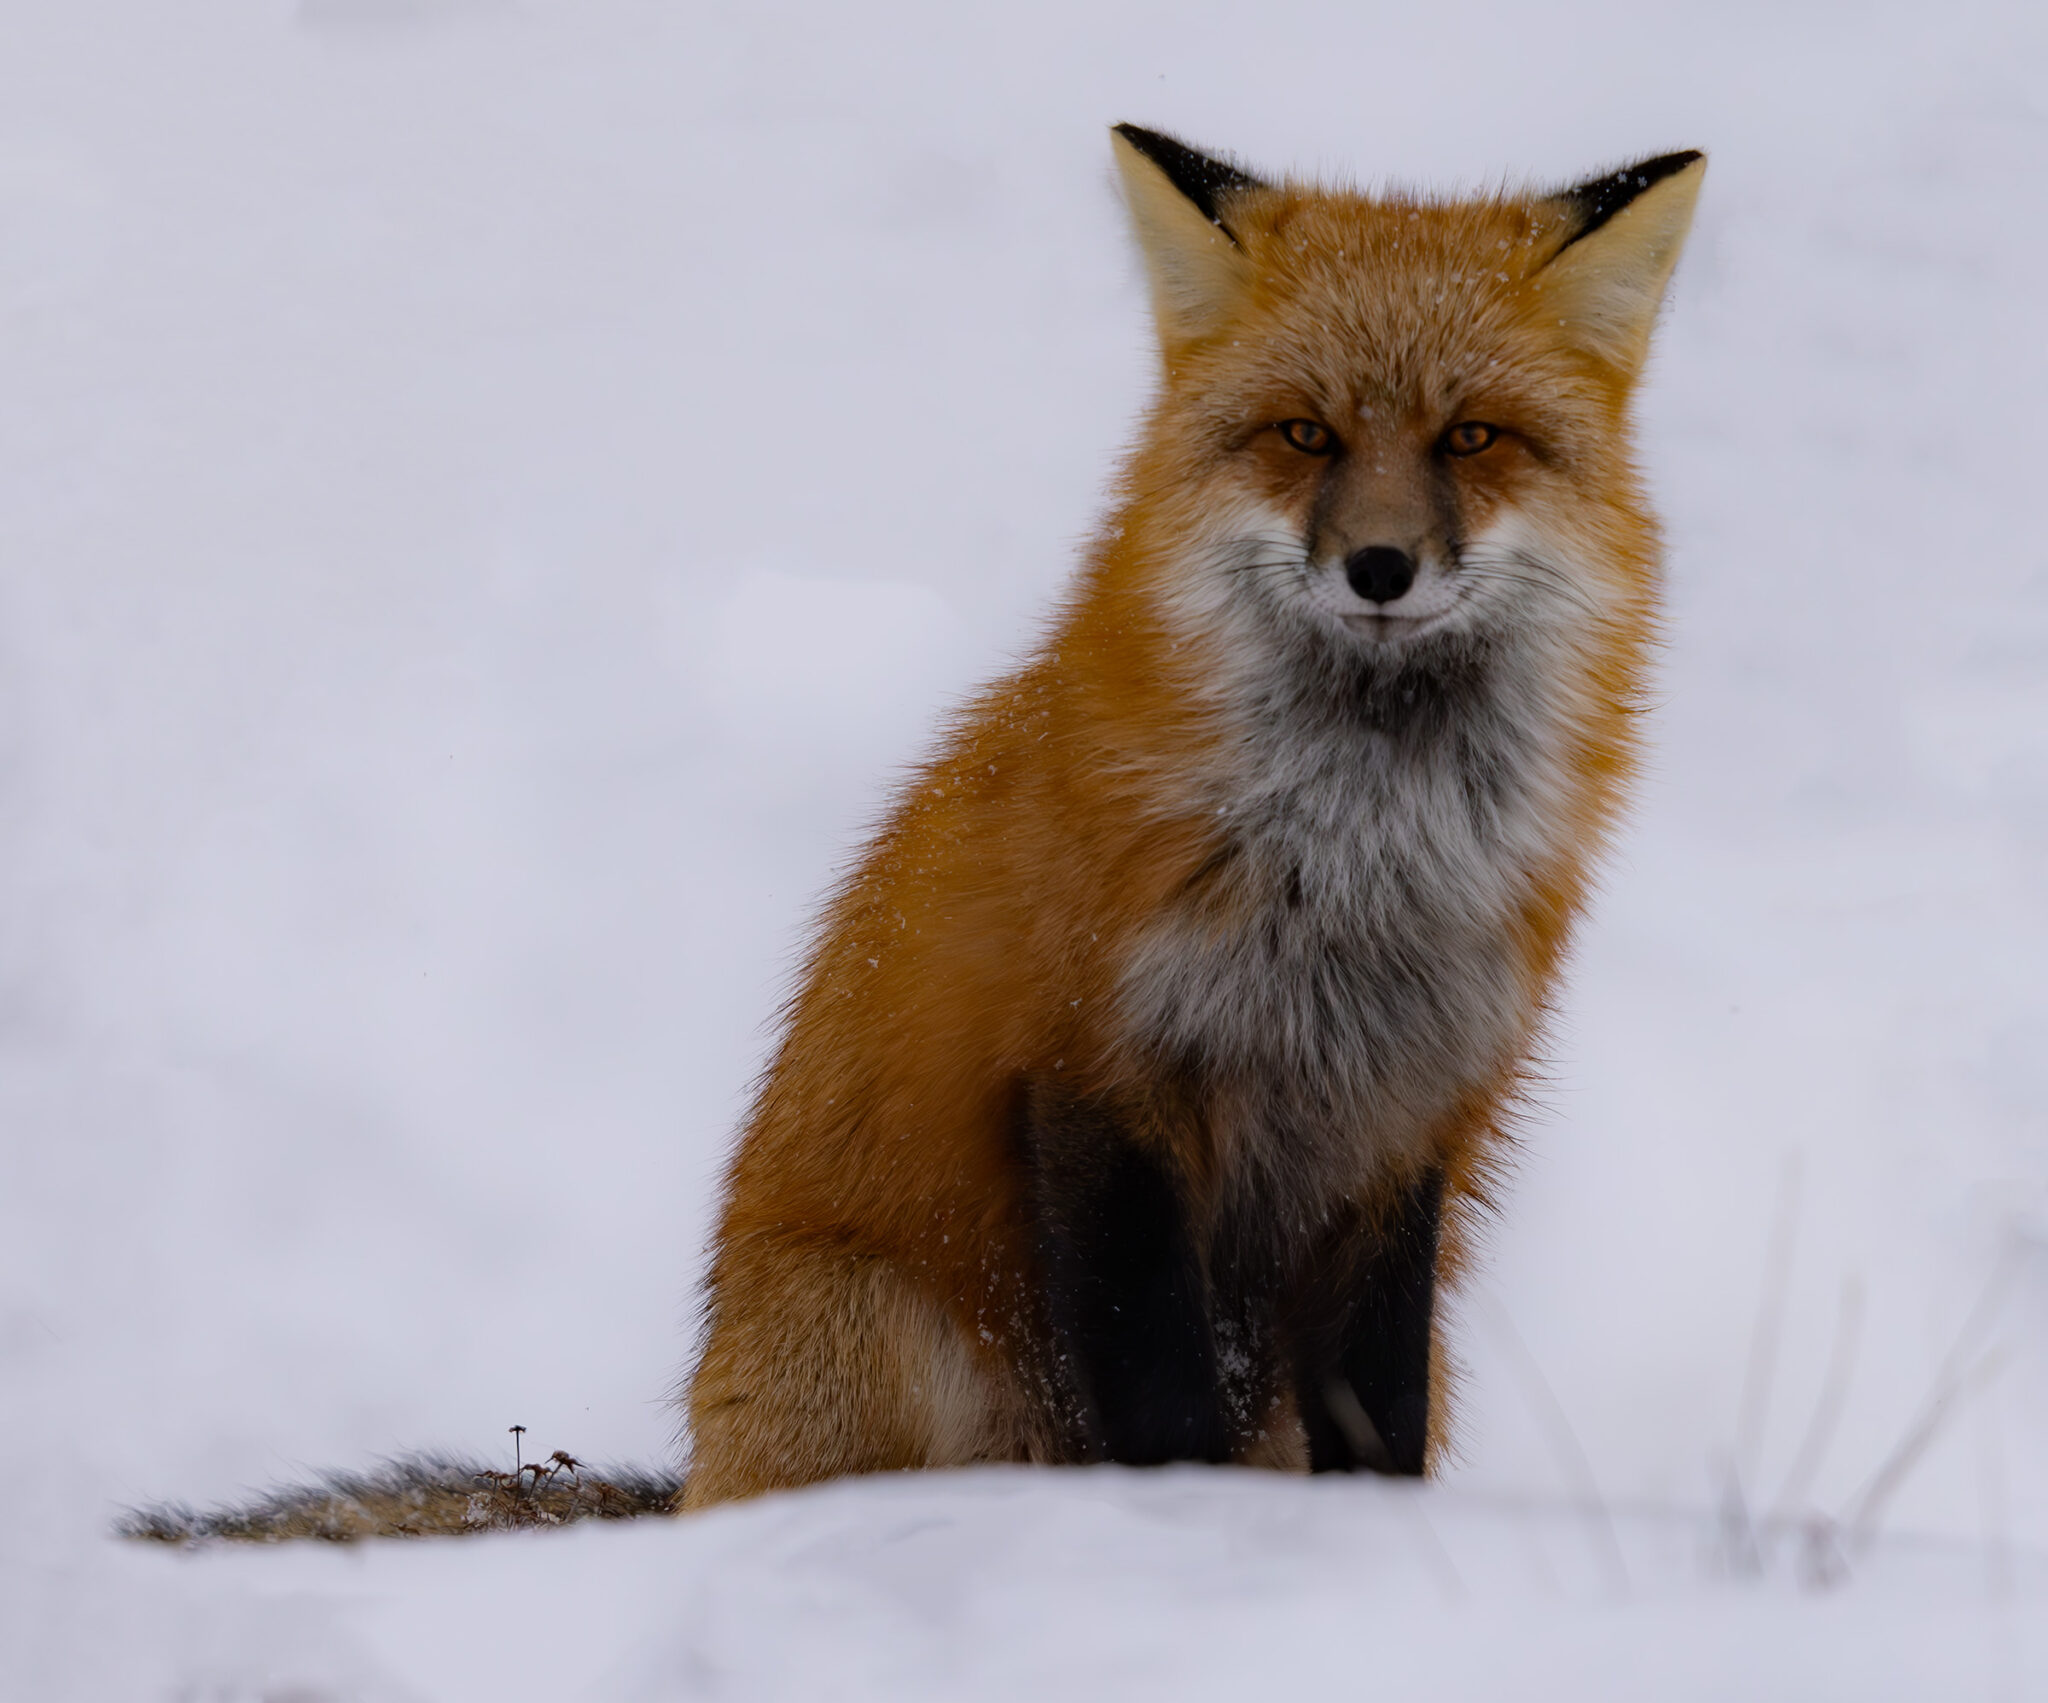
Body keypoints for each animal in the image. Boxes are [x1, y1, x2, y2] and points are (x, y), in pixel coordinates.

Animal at [126, 126, 1702, 1542]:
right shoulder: (1095, 1075)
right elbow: (1162, 1399)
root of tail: (694, 1478)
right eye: (1304, 433)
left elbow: (1378, 1420)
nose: (1379, 566)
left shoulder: (1406, 1119)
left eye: (1471, 438)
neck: (1353, 868)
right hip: (898, 1336)